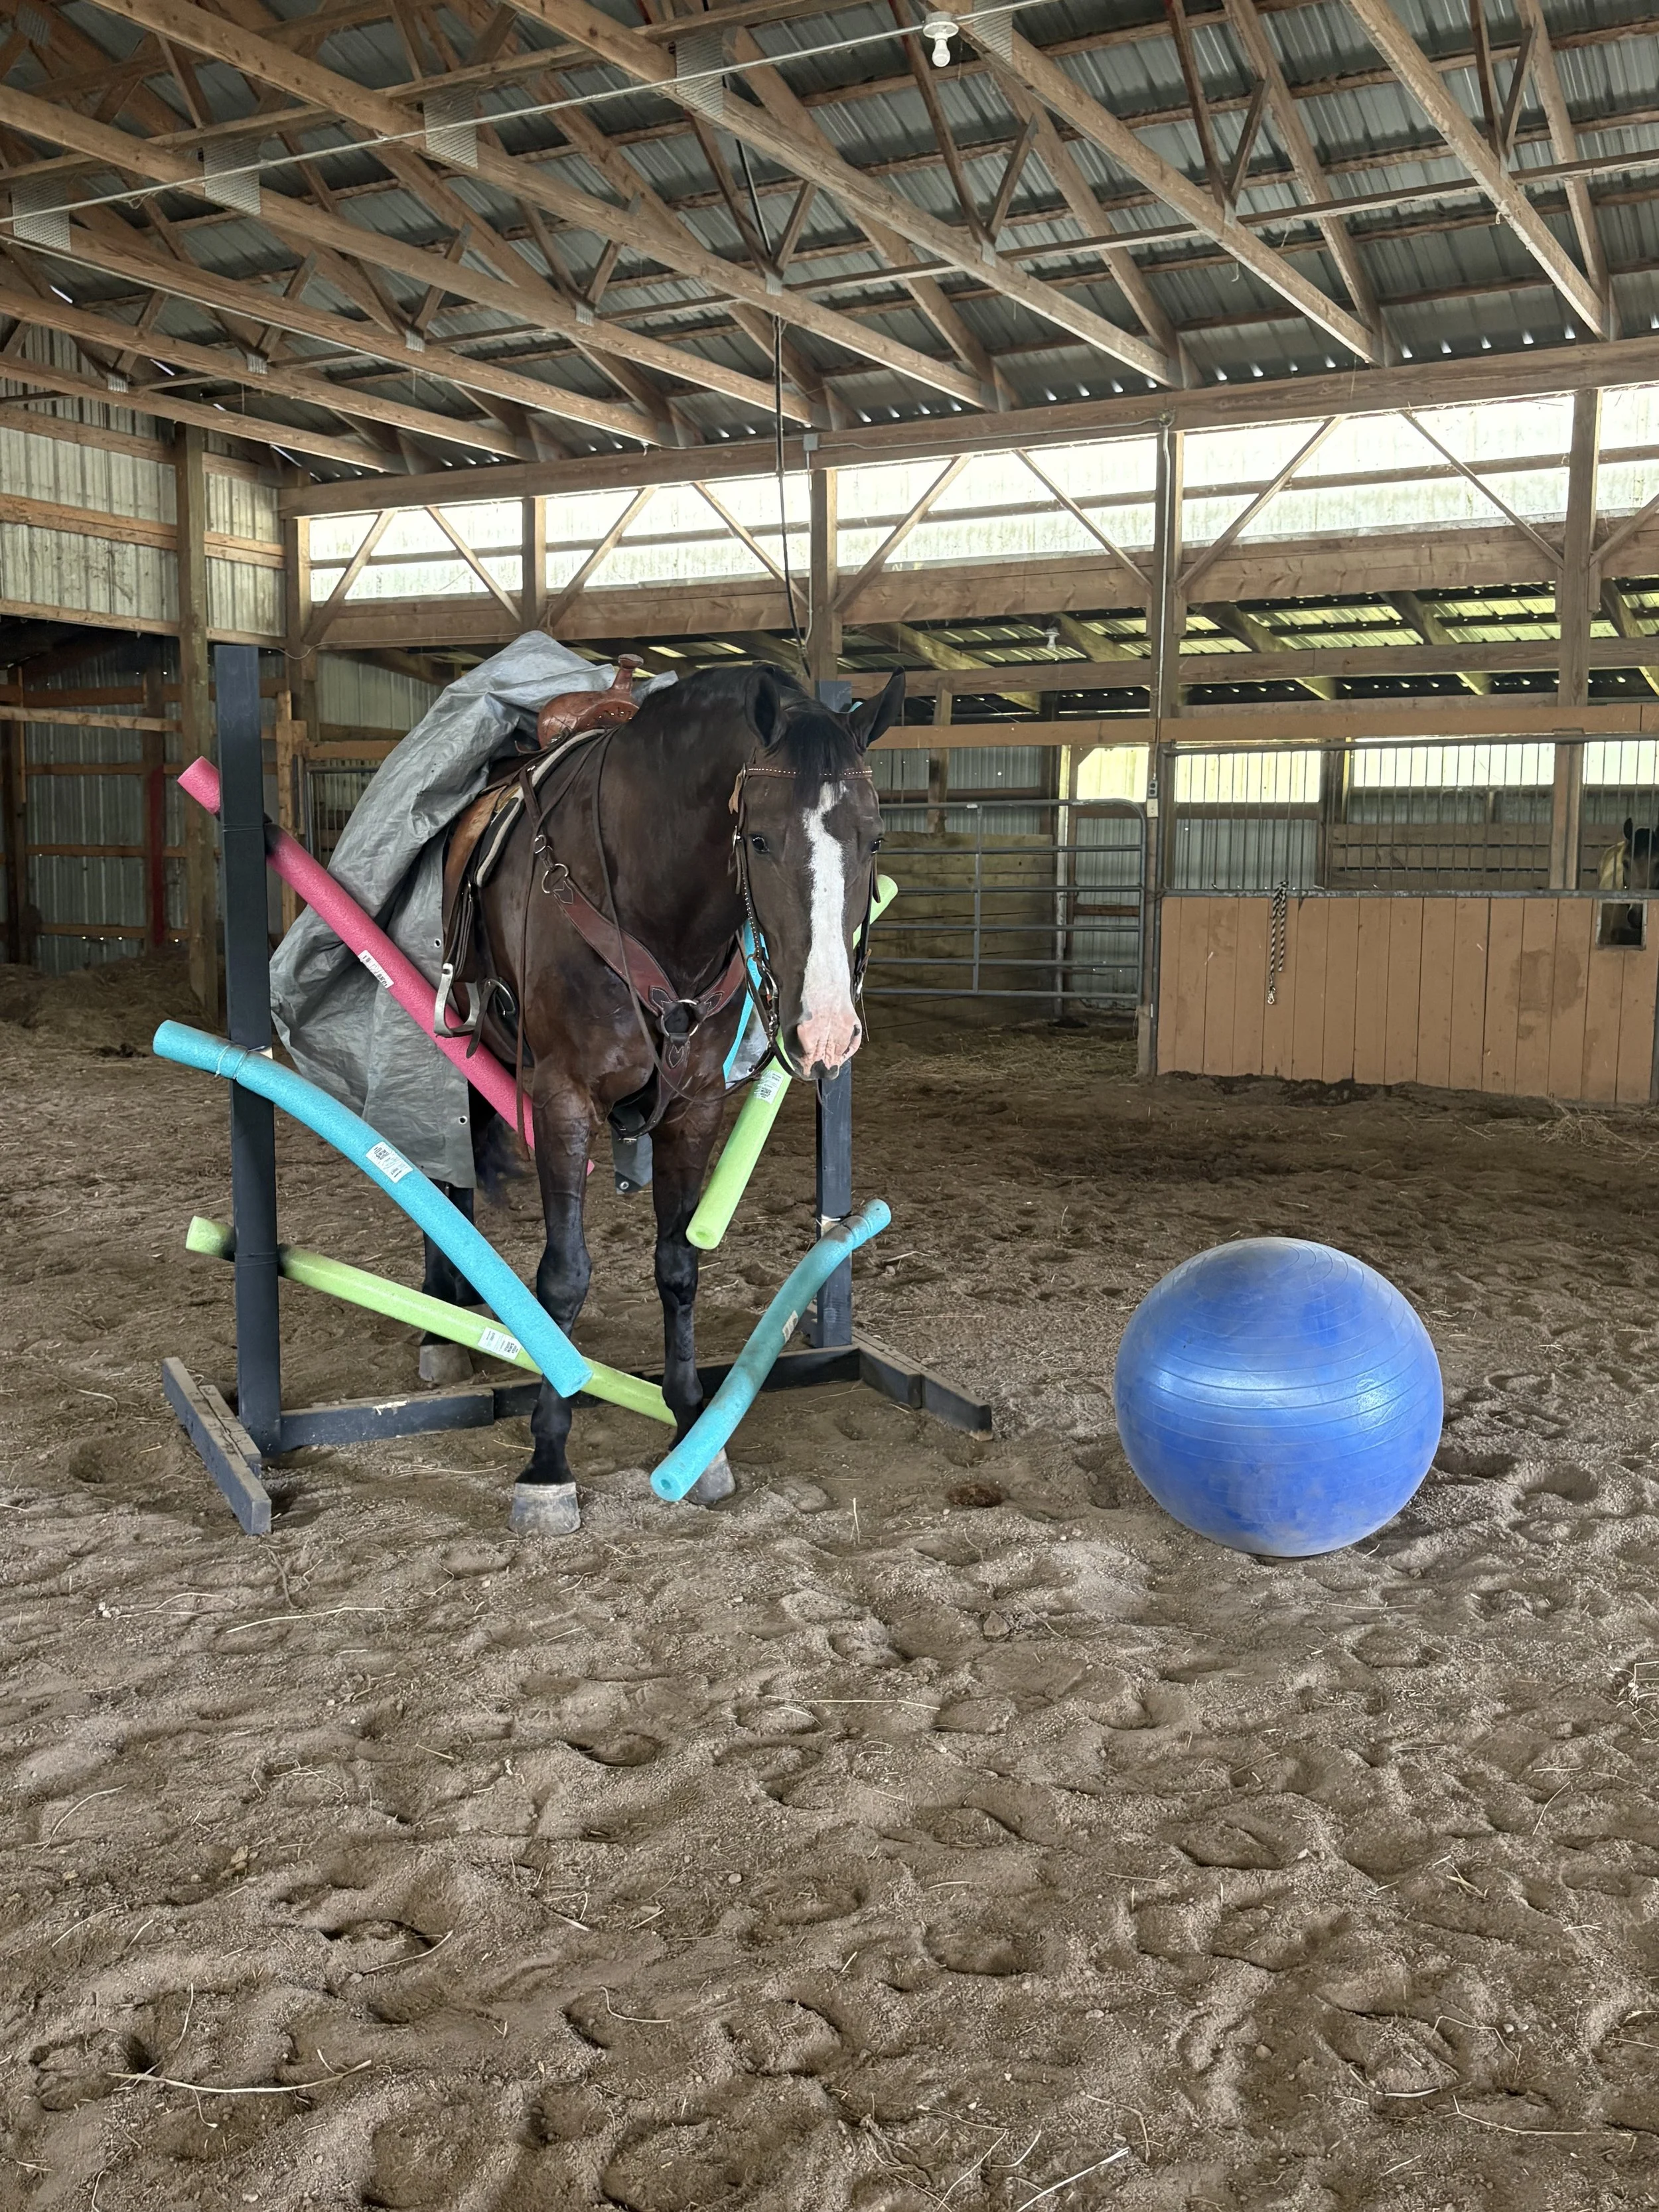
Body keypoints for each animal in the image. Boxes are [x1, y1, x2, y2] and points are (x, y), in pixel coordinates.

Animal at [419, 662, 903, 1535]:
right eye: (758, 839)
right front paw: (548, 1462)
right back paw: (446, 1315)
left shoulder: (696, 1107)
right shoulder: (561, 1099)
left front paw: (690, 1430)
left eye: (873, 839)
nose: (825, 1030)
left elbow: (678, 1266)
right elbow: (563, 1277)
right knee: (451, 1177)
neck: (654, 901)